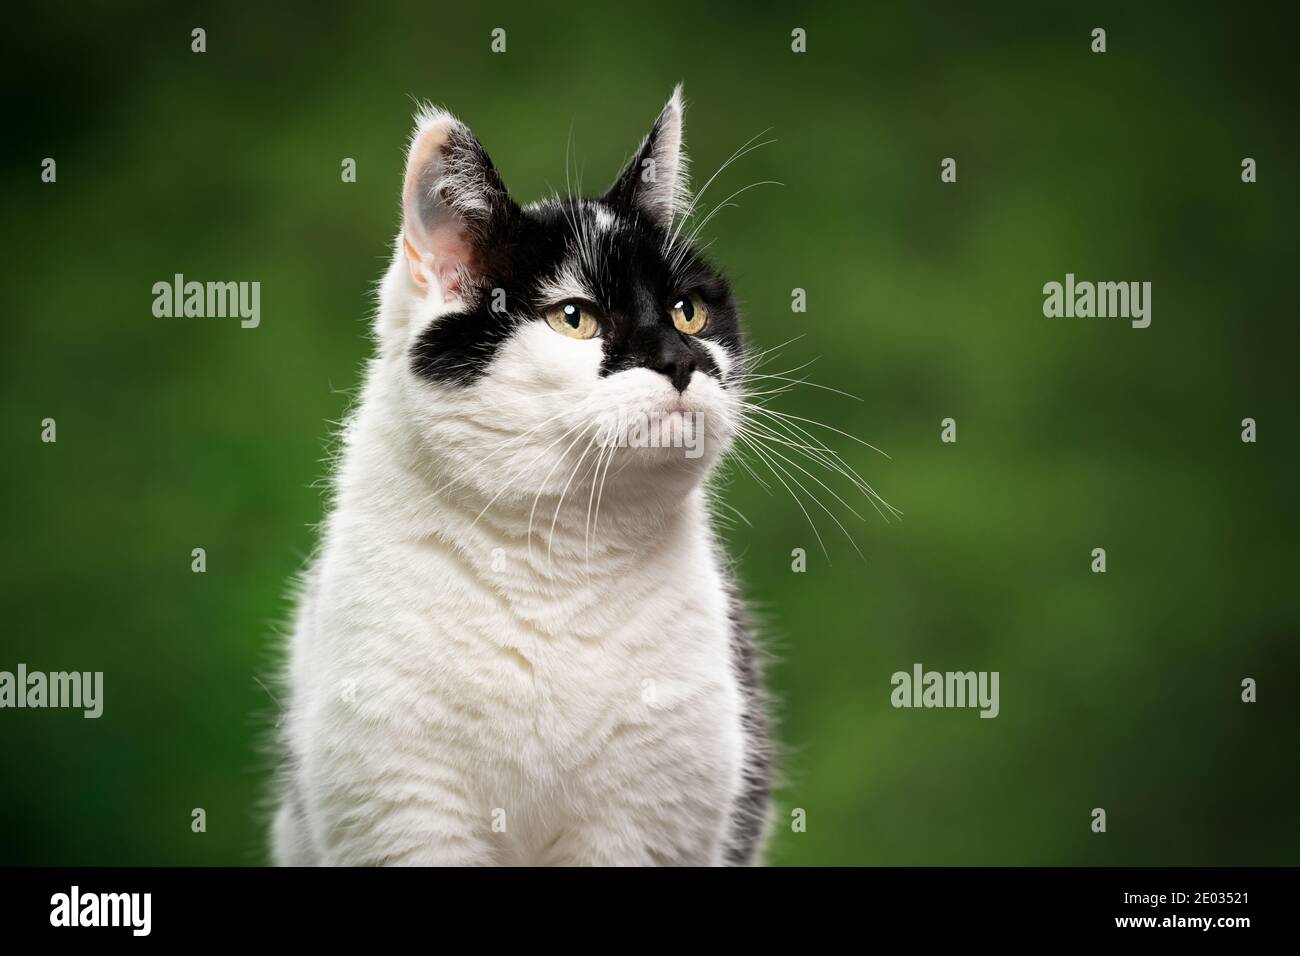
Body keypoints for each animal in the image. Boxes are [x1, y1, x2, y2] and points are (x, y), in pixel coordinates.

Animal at [271, 87, 769, 868]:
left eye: (689, 311)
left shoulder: (648, 821)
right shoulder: (403, 808)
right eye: (574, 318)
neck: (556, 555)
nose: (681, 360)